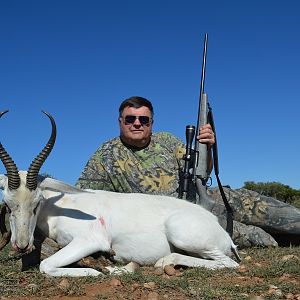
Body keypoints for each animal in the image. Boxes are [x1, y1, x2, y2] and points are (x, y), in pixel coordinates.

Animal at [0, 110, 239, 276]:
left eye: (36, 203)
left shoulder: (89, 241)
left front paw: (102, 270)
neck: (61, 207)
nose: (21, 245)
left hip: (182, 234)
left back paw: (163, 262)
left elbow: (46, 265)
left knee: (230, 263)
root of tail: (223, 233)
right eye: (8, 204)